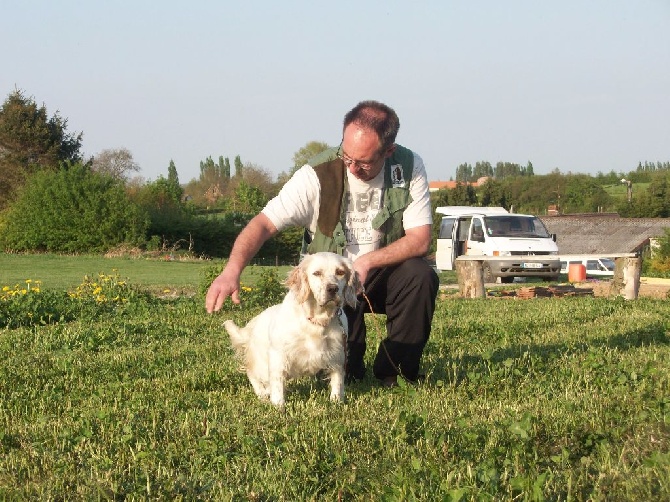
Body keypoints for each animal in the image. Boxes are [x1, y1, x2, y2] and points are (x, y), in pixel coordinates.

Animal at [224, 251, 362, 408]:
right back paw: (262, 394)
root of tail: (254, 323)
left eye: (340, 272)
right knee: (251, 373)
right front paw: (278, 406)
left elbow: (337, 381)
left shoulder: (337, 354)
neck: (317, 320)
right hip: (262, 362)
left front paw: (336, 401)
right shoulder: (278, 355)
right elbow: (277, 385)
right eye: (317, 273)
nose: (332, 289)